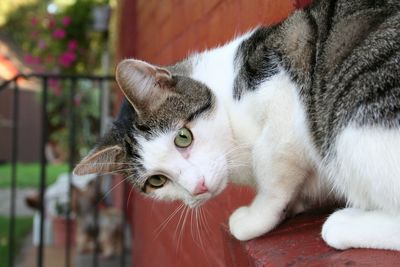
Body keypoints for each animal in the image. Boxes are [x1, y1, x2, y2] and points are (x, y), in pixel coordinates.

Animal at [74, 0, 400, 251]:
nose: (198, 187)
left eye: (183, 137)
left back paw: (342, 223)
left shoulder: (281, 95)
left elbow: (270, 164)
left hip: (355, 127)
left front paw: (257, 216)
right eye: (157, 181)